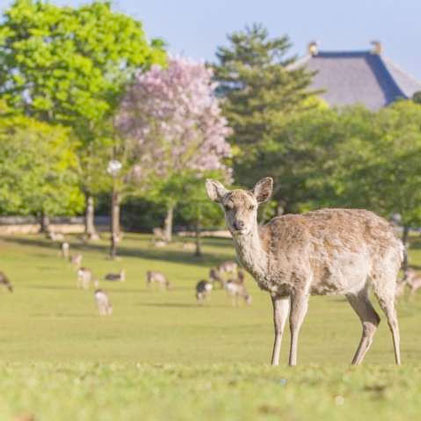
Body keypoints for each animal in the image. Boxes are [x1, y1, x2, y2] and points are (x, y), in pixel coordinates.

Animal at [205, 176, 402, 364]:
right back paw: (353, 364)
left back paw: (397, 363)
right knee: (372, 319)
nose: (239, 224)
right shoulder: (278, 290)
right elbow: (278, 325)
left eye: (252, 206)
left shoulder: (302, 281)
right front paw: (273, 363)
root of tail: (398, 241)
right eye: (227, 206)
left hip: (385, 272)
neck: (270, 258)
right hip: (355, 288)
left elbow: (294, 323)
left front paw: (292, 363)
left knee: (392, 319)